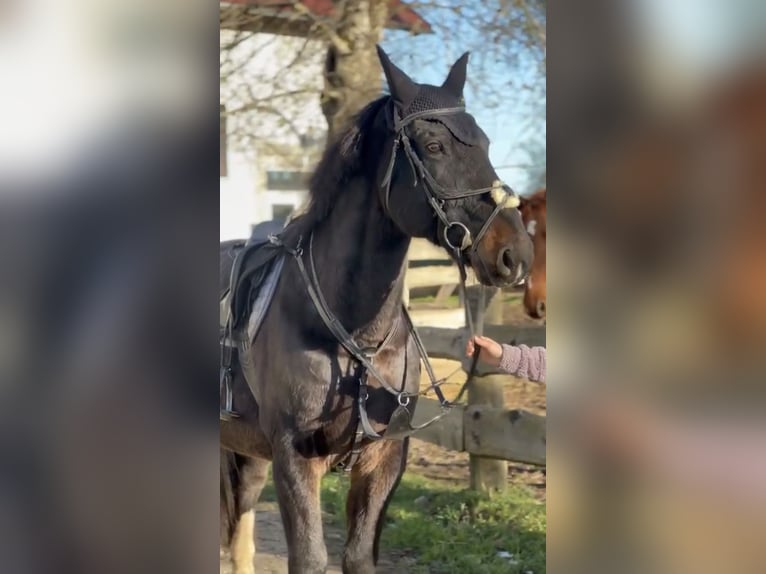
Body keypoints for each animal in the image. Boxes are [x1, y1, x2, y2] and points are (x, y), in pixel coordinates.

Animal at [220, 48, 536, 574]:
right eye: (432, 145)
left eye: (486, 143)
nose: (516, 255)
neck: (354, 339)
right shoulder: (293, 456)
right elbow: (310, 557)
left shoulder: (384, 458)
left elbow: (359, 555)